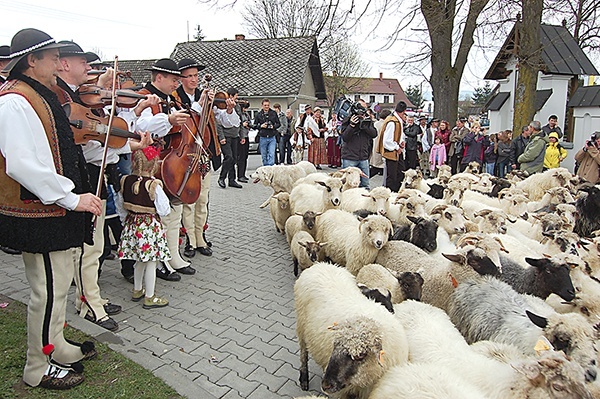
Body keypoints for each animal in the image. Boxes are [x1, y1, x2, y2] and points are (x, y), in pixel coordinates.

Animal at [294, 264, 408, 398]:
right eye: (335, 345)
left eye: (360, 355)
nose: (326, 385)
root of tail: (320, 265)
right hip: (301, 324)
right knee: (303, 353)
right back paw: (304, 379)